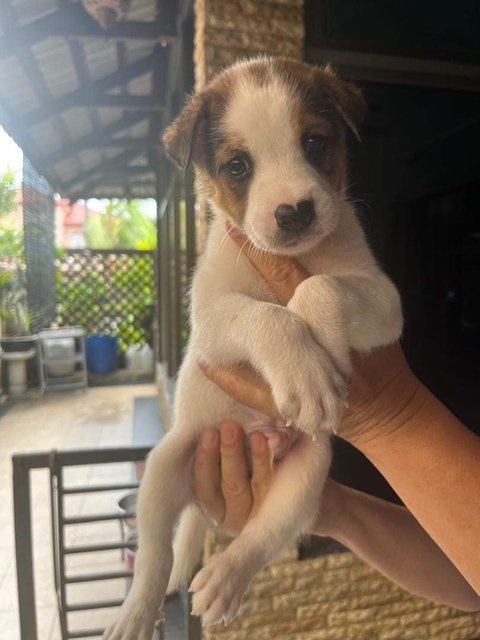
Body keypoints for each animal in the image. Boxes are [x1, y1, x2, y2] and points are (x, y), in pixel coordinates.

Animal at [103, 57, 404, 636]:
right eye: (238, 166)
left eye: (314, 142)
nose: (294, 212)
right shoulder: (210, 314)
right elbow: (266, 315)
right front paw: (306, 372)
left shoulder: (384, 301)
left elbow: (318, 287)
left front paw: (325, 352)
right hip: (164, 467)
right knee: (154, 554)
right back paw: (137, 610)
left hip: (309, 473)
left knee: (260, 537)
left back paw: (224, 577)